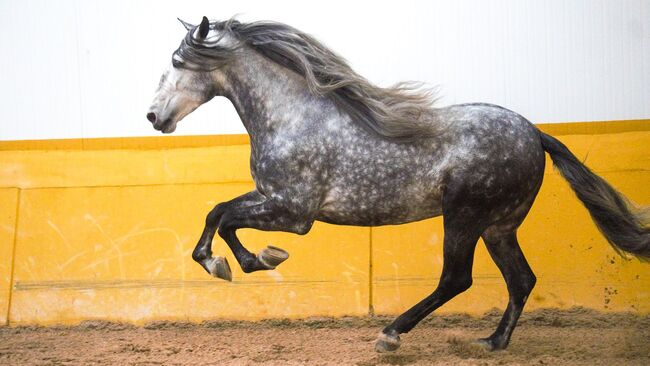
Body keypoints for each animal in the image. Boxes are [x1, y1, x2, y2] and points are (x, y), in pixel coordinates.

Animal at [147, 16, 648, 352]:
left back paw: (390, 334)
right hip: (498, 226)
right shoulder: (272, 197)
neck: (293, 117)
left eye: (177, 61)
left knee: (457, 278)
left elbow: (225, 217)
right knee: (521, 279)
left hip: (464, 217)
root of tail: (535, 133)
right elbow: (218, 210)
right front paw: (239, 261)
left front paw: (248, 260)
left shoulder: (294, 212)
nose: (154, 117)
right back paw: (493, 342)